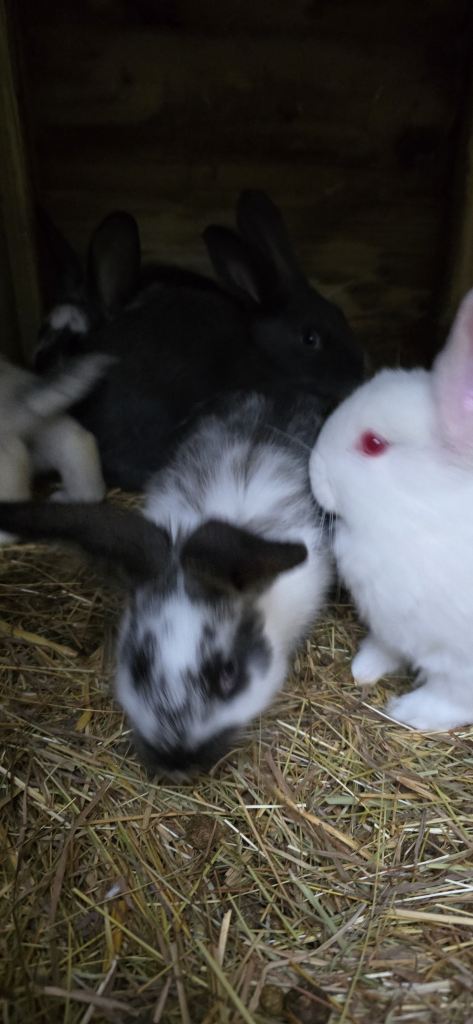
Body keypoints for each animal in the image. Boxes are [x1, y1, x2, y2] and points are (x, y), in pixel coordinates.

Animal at [309, 287, 473, 732]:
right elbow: (383, 647)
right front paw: (362, 669)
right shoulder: (393, 627)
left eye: (373, 444)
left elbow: (451, 698)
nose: (313, 470)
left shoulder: (459, 665)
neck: (419, 518)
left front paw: (408, 711)